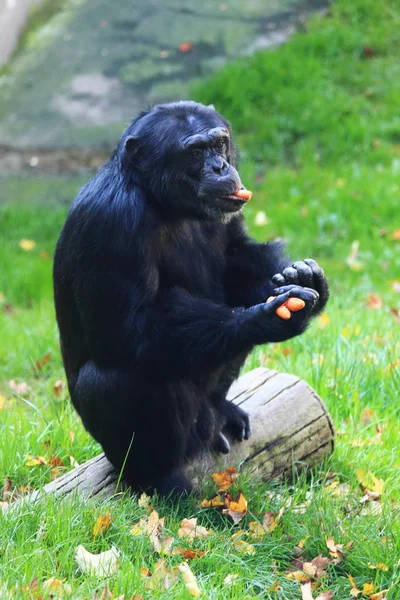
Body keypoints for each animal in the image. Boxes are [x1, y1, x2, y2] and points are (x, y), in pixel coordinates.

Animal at [53, 102, 328, 496]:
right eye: (195, 153)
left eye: (219, 144)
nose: (220, 167)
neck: (165, 202)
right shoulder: (111, 223)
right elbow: (128, 333)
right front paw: (258, 320)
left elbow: (235, 256)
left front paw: (304, 278)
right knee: (123, 377)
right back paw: (160, 480)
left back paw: (223, 411)